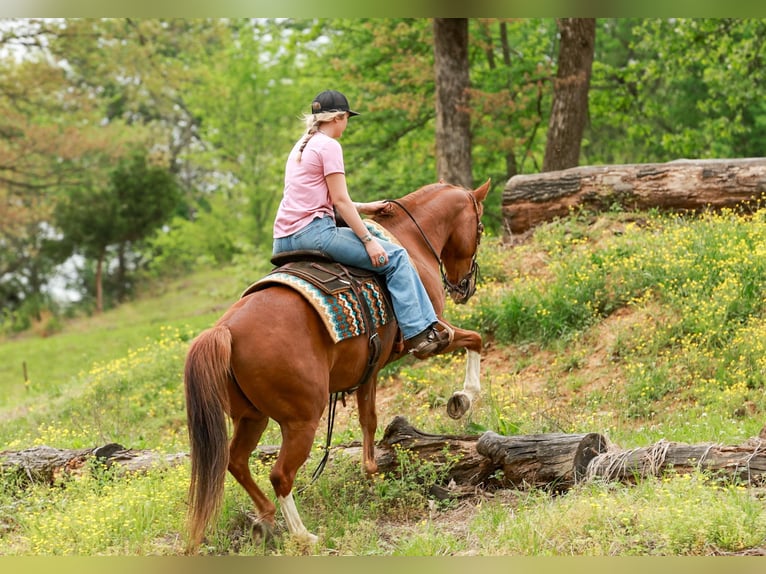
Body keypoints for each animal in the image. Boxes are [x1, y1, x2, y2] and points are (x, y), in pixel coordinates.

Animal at [184, 178, 491, 550]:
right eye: (480, 228)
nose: (464, 286)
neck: (411, 239)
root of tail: (225, 330)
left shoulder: (369, 370)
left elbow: (368, 420)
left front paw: (371, 473)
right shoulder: (433, 333)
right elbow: (474, 339)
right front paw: (463, 399)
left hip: (252, 416)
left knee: (237, 461)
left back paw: (266, 520)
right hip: (302, 419)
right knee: (280, 474)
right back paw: (303, 535)